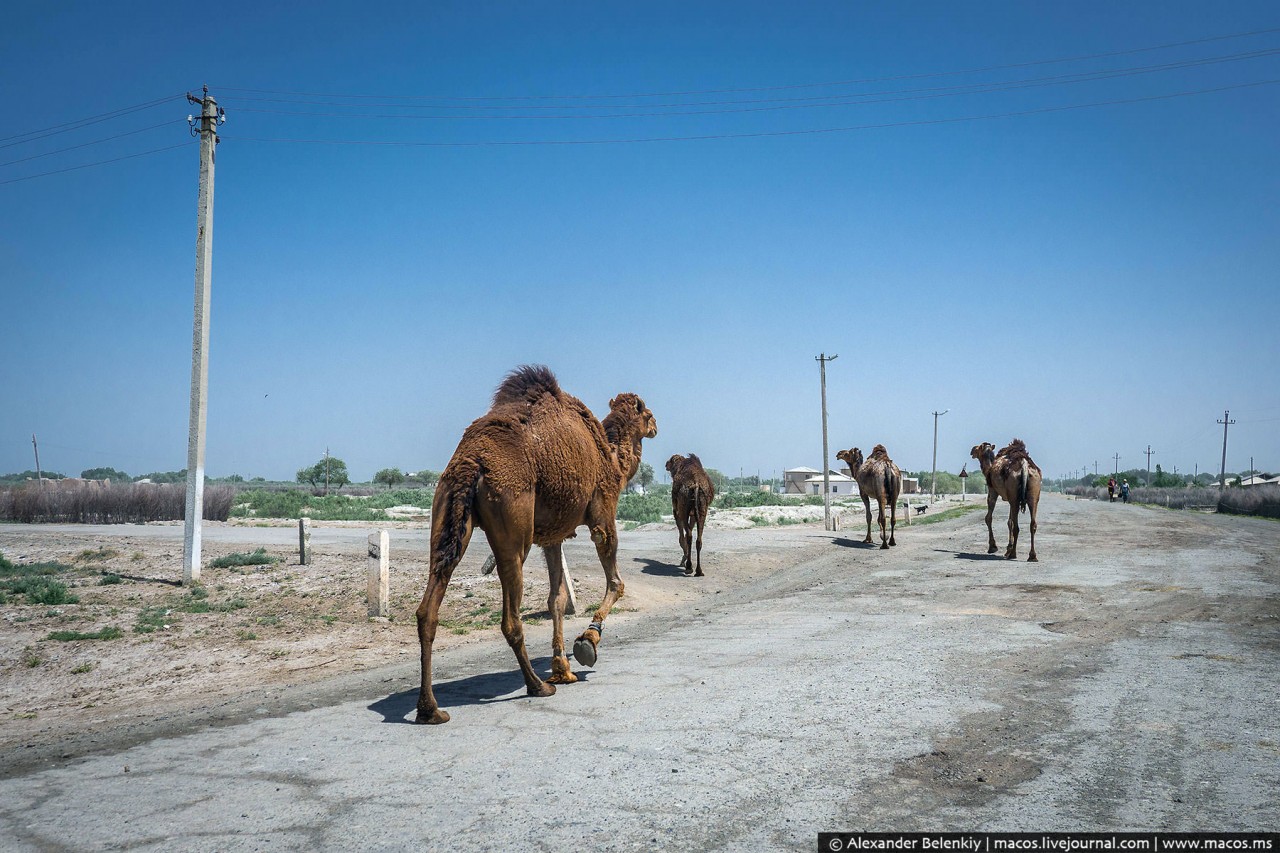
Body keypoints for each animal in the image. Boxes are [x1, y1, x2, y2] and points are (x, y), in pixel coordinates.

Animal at [417, 361, 660, 722]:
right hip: (512, 523)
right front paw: (587, 642)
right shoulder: (603, 512)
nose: (656, 426)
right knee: (510, 618)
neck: (613, 459)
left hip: (447, 513)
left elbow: (556, 599)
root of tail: (472, 462)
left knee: (429, 606)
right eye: (647, 414)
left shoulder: (552, 536)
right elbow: (616, 582)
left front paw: (562, 668)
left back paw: (430, 709)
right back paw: (536, 685)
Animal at [665, 450, 716, 578]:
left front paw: (683, 560)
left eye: (671, 460)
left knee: (688, 536)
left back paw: (689, 567)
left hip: (683, 507)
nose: (666, 464)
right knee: (698, 539)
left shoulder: (676, 511)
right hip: (703, 508)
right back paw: (699, 570)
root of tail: (696, 484)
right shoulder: (693, 513)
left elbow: (681, 537)